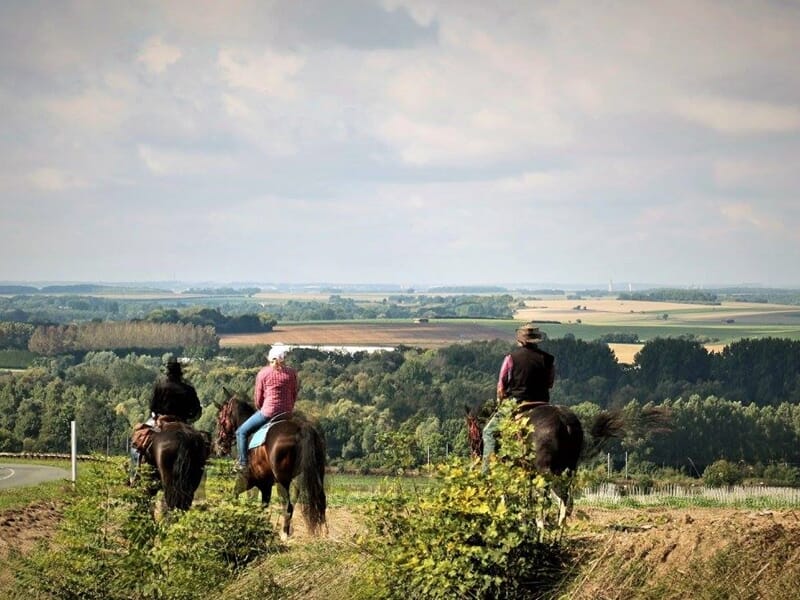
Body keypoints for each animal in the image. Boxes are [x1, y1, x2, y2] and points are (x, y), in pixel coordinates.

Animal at [214, 390, 326, 540]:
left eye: (220, 418)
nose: (218, 446)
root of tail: (301, 428)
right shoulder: (265, 485)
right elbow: (262, 507)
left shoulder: (247, 480)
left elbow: (235, 495)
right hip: (307, 478)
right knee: (315, 502)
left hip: (282, 481)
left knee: (288, 506)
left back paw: (285, 534)